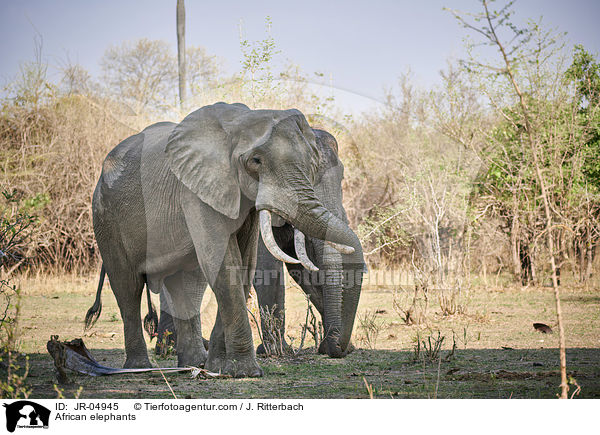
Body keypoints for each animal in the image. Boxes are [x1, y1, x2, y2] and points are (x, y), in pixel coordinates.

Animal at [152, 127, 366, 360]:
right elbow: (268, 264)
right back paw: (171, 348)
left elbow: (303, 271)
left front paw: (333, 347)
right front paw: (275, 351)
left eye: (342, 177)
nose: (340, 348)